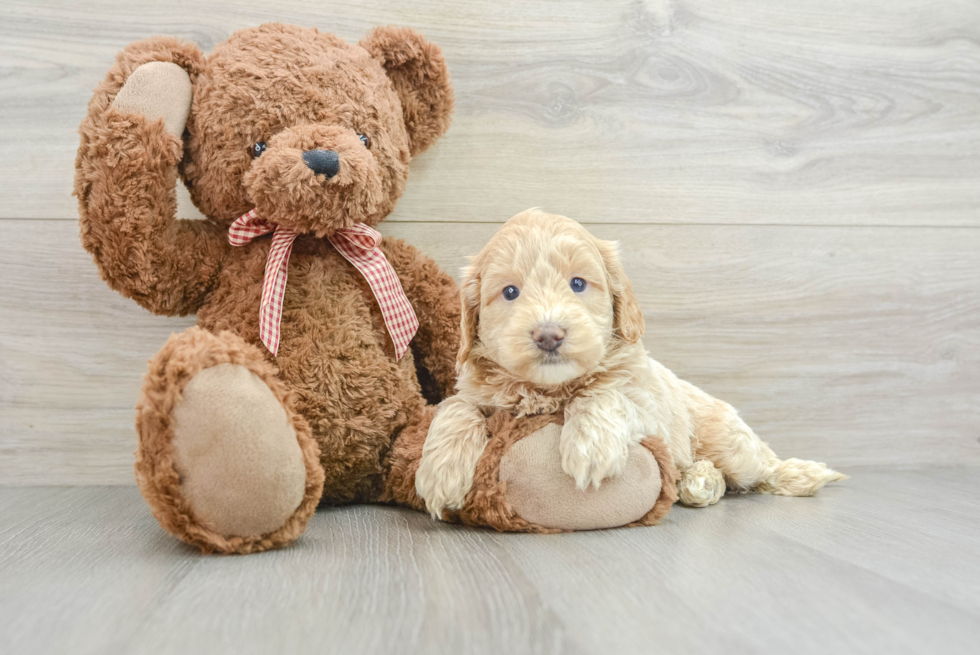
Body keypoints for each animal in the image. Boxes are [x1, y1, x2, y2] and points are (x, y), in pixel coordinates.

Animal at [414, 210, 844, 516]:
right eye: (509, 292)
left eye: (578, 284)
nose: (549, 334)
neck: (549, 389)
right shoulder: (477, 390)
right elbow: (456, 407)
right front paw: (441, 472)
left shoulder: (645, 403)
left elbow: (605, 393)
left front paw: (590, 446)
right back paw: (699, 481)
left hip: (728, 442)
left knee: (761, 465)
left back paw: (802, 473)